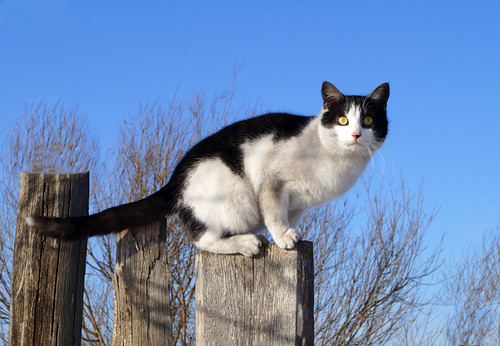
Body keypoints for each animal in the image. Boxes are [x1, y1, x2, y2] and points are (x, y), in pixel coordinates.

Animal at [25, 82, 388, 256]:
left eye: (369, 121)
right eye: (342, 120)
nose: (356, 134)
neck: (336, 162)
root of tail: (174, 180)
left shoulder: (297, 204)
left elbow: (284, 215)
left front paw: (286, 232)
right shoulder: (272, 181)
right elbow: (274, 213)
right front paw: (283, 237)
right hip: (232, 197)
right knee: (202, 240)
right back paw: (245, 243)